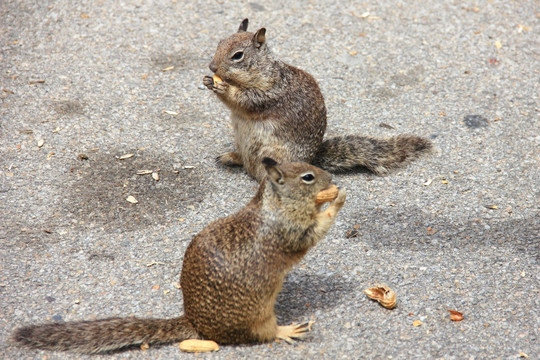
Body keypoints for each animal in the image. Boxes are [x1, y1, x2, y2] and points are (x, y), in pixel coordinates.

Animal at [11, 158, 346, 354]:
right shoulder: (292, 232)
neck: (274, 204)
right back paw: (288, 330)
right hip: (259, 316)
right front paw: (337, 200)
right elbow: (315, 231)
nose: (330, 176)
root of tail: (195, 324)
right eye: (308, 177)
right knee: (264, 334)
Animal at [204, 18, 434, 181]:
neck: (261, 70)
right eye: (219, 43)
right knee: (244, 162)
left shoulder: (272, 92)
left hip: (272, 156)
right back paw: (230, 157)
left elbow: (248, 100)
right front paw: (208, 81)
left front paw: (224, 88)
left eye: (238, 55)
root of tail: (311, 163)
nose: (212, 67)